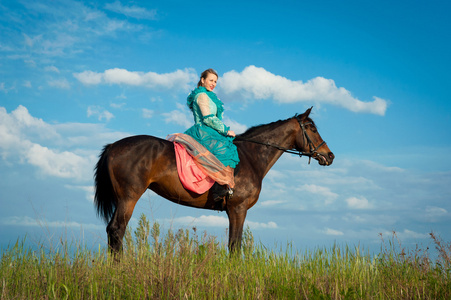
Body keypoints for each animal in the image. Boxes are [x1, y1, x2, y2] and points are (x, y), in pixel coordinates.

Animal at [94, 106, 336, 254]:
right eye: (312, 128)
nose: (330, 155)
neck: (252, 156)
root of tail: (113, 146)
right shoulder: (238, 209)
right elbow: (235, 245)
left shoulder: (234, 211)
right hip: (129, 197)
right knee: (117, 230)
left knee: (112, 231)